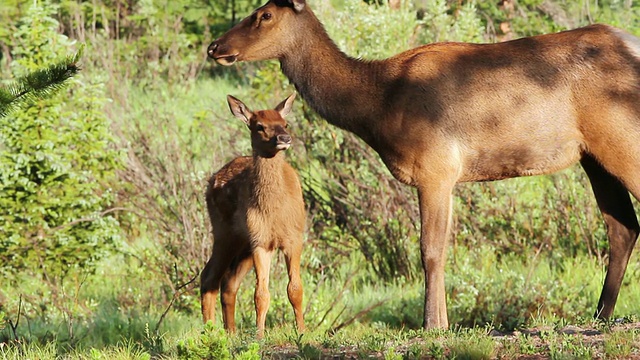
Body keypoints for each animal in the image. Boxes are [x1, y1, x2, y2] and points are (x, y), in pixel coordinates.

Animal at [202, 93, 308, 338]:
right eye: (259, 126)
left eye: (285, 123)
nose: (284, 138)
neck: (275, 211)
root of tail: (211, 181)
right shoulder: (261, 241)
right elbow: (261, 293)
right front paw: (259, 335)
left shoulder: (294, 237)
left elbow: (295, 289)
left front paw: (303, 331)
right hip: (224, 233)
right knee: (209, 277)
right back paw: (210, 332)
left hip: (242, 244)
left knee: (228, 282)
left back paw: (230, 332)